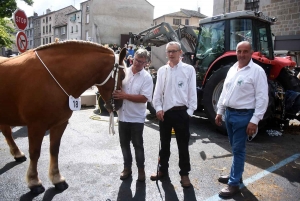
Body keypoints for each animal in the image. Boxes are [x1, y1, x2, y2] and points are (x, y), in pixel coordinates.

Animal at [0, 40, 125, 193]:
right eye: (123, 76)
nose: (119, 104)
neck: (53, 79)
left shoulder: (60, 124)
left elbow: (54, 150)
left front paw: (56, 178)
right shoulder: (36, 126)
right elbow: (35, 152)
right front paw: (34, 181)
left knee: (6, 132)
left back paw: (17, 153)